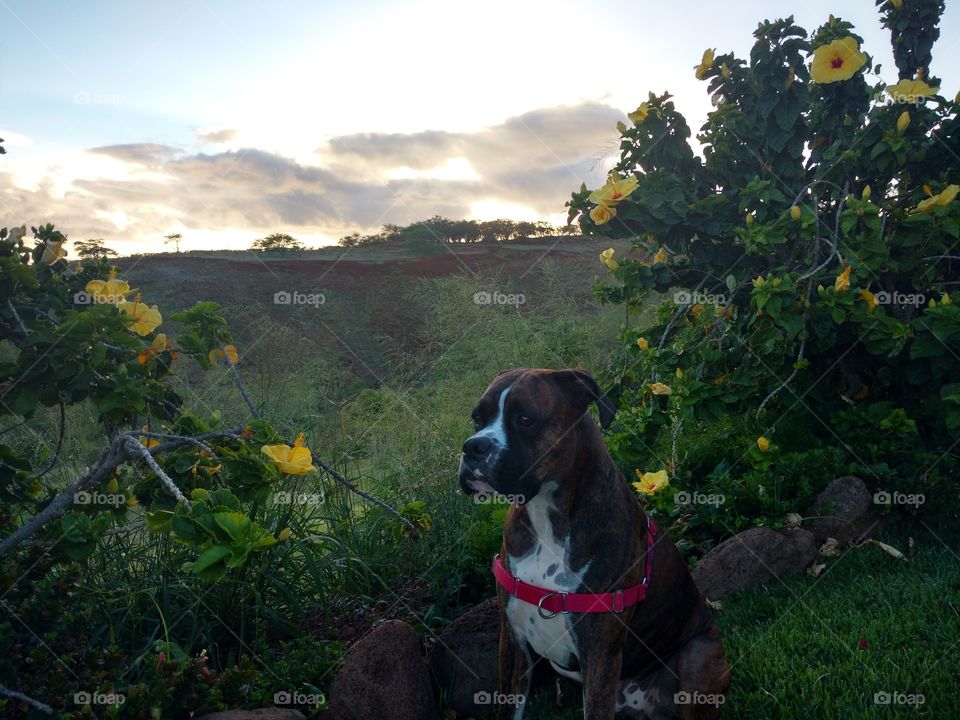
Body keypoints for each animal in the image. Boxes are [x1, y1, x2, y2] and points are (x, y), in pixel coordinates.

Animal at [458, 372, 728, 720]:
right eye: (477, 419)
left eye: (525, 419)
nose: (473, 446)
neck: (546, 519)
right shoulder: (513, 642)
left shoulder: (599, 653)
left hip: (698, 658)